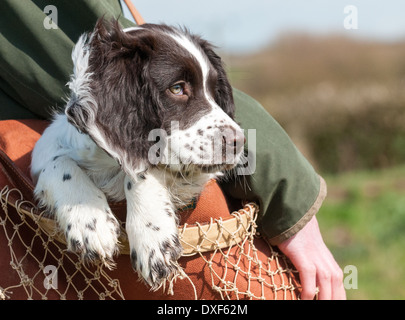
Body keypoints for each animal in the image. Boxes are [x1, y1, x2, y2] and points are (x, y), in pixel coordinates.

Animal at [30, 19, 243, 290]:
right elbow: (58, 164)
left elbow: (143, 170)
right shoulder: (45, 152)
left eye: (214, 91)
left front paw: (152, 236)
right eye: (177, 88)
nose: (239, 142)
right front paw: (90, 221)